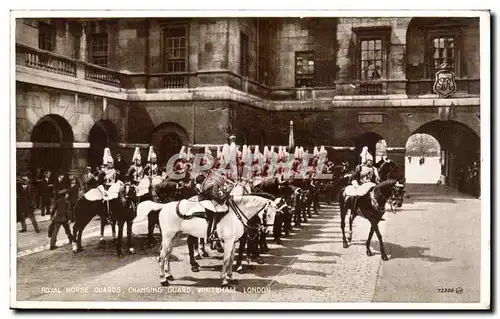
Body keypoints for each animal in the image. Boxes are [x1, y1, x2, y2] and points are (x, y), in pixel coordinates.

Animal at [135, 194, 282, 288]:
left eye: (276, 214)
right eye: (267, 214)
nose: (267, 231)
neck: (236, 214)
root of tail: (164, 206)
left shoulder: (233, 242)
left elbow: (231, 260)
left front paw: (231, 278)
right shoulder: (228, 242)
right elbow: (226, 260)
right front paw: (224, 281)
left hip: (174, 236)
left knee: (167, 254)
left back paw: (169, 275)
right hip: (167, 237)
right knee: (162, 256)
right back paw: (163, 280)